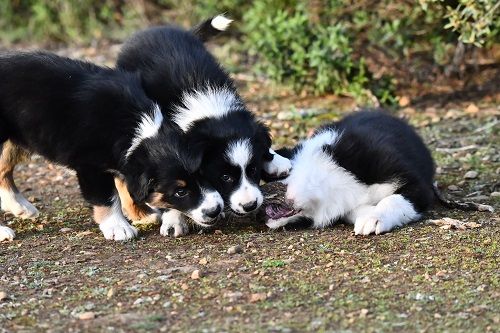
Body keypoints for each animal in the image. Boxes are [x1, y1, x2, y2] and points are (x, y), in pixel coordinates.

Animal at [0, 50, 223, 240]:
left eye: (204, 175)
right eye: (180, 192)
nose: (215, 210)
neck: (135, 127)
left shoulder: (122, 159)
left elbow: (126, 186)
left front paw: (142, 214)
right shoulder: (90, 166)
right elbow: (107, 198)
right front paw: (118, 227)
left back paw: (20, 207)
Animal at [115, 14, 292, 235]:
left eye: (253, 170)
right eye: (225, 177)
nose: (250, 205)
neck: (204, 102)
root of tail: (151, 30)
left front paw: (273, 159)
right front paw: (174, 220)